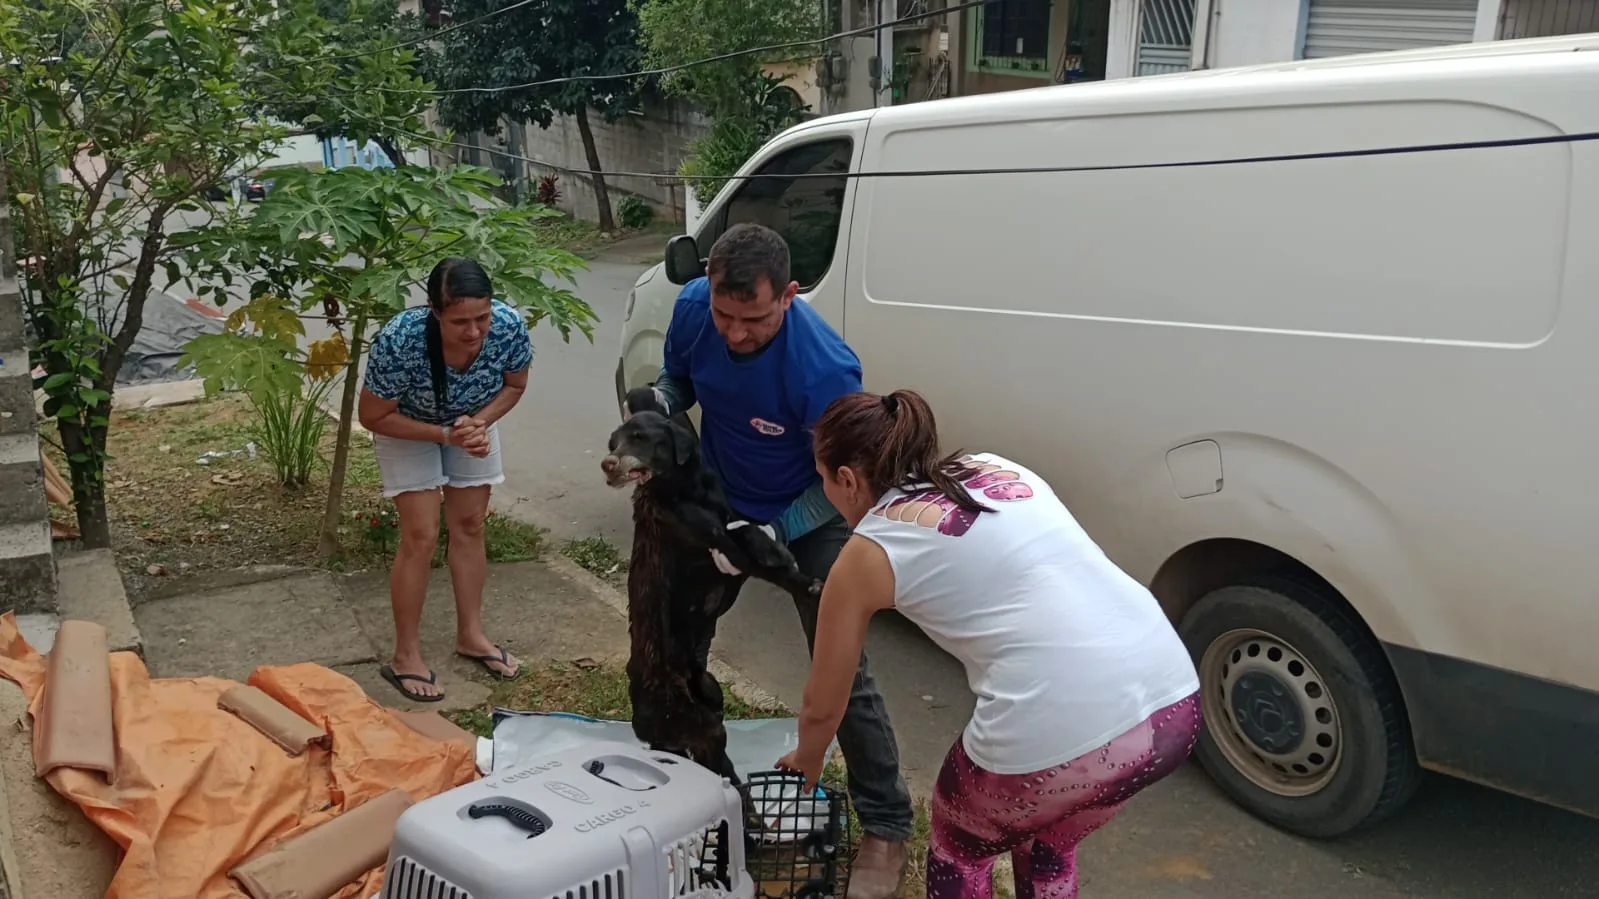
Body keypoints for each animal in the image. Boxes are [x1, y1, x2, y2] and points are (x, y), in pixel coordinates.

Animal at [601, 387, 825, 790]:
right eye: (614, 442)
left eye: (638, 437)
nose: (607, 464)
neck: (686, 490)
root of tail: (640, 719)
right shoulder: (721, 549)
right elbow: (758, 557)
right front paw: (807, 586)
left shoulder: (730, 536)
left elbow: (750, 531)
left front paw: (777, 551)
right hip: (703, 726)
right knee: (718, 765)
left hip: (711, 692)